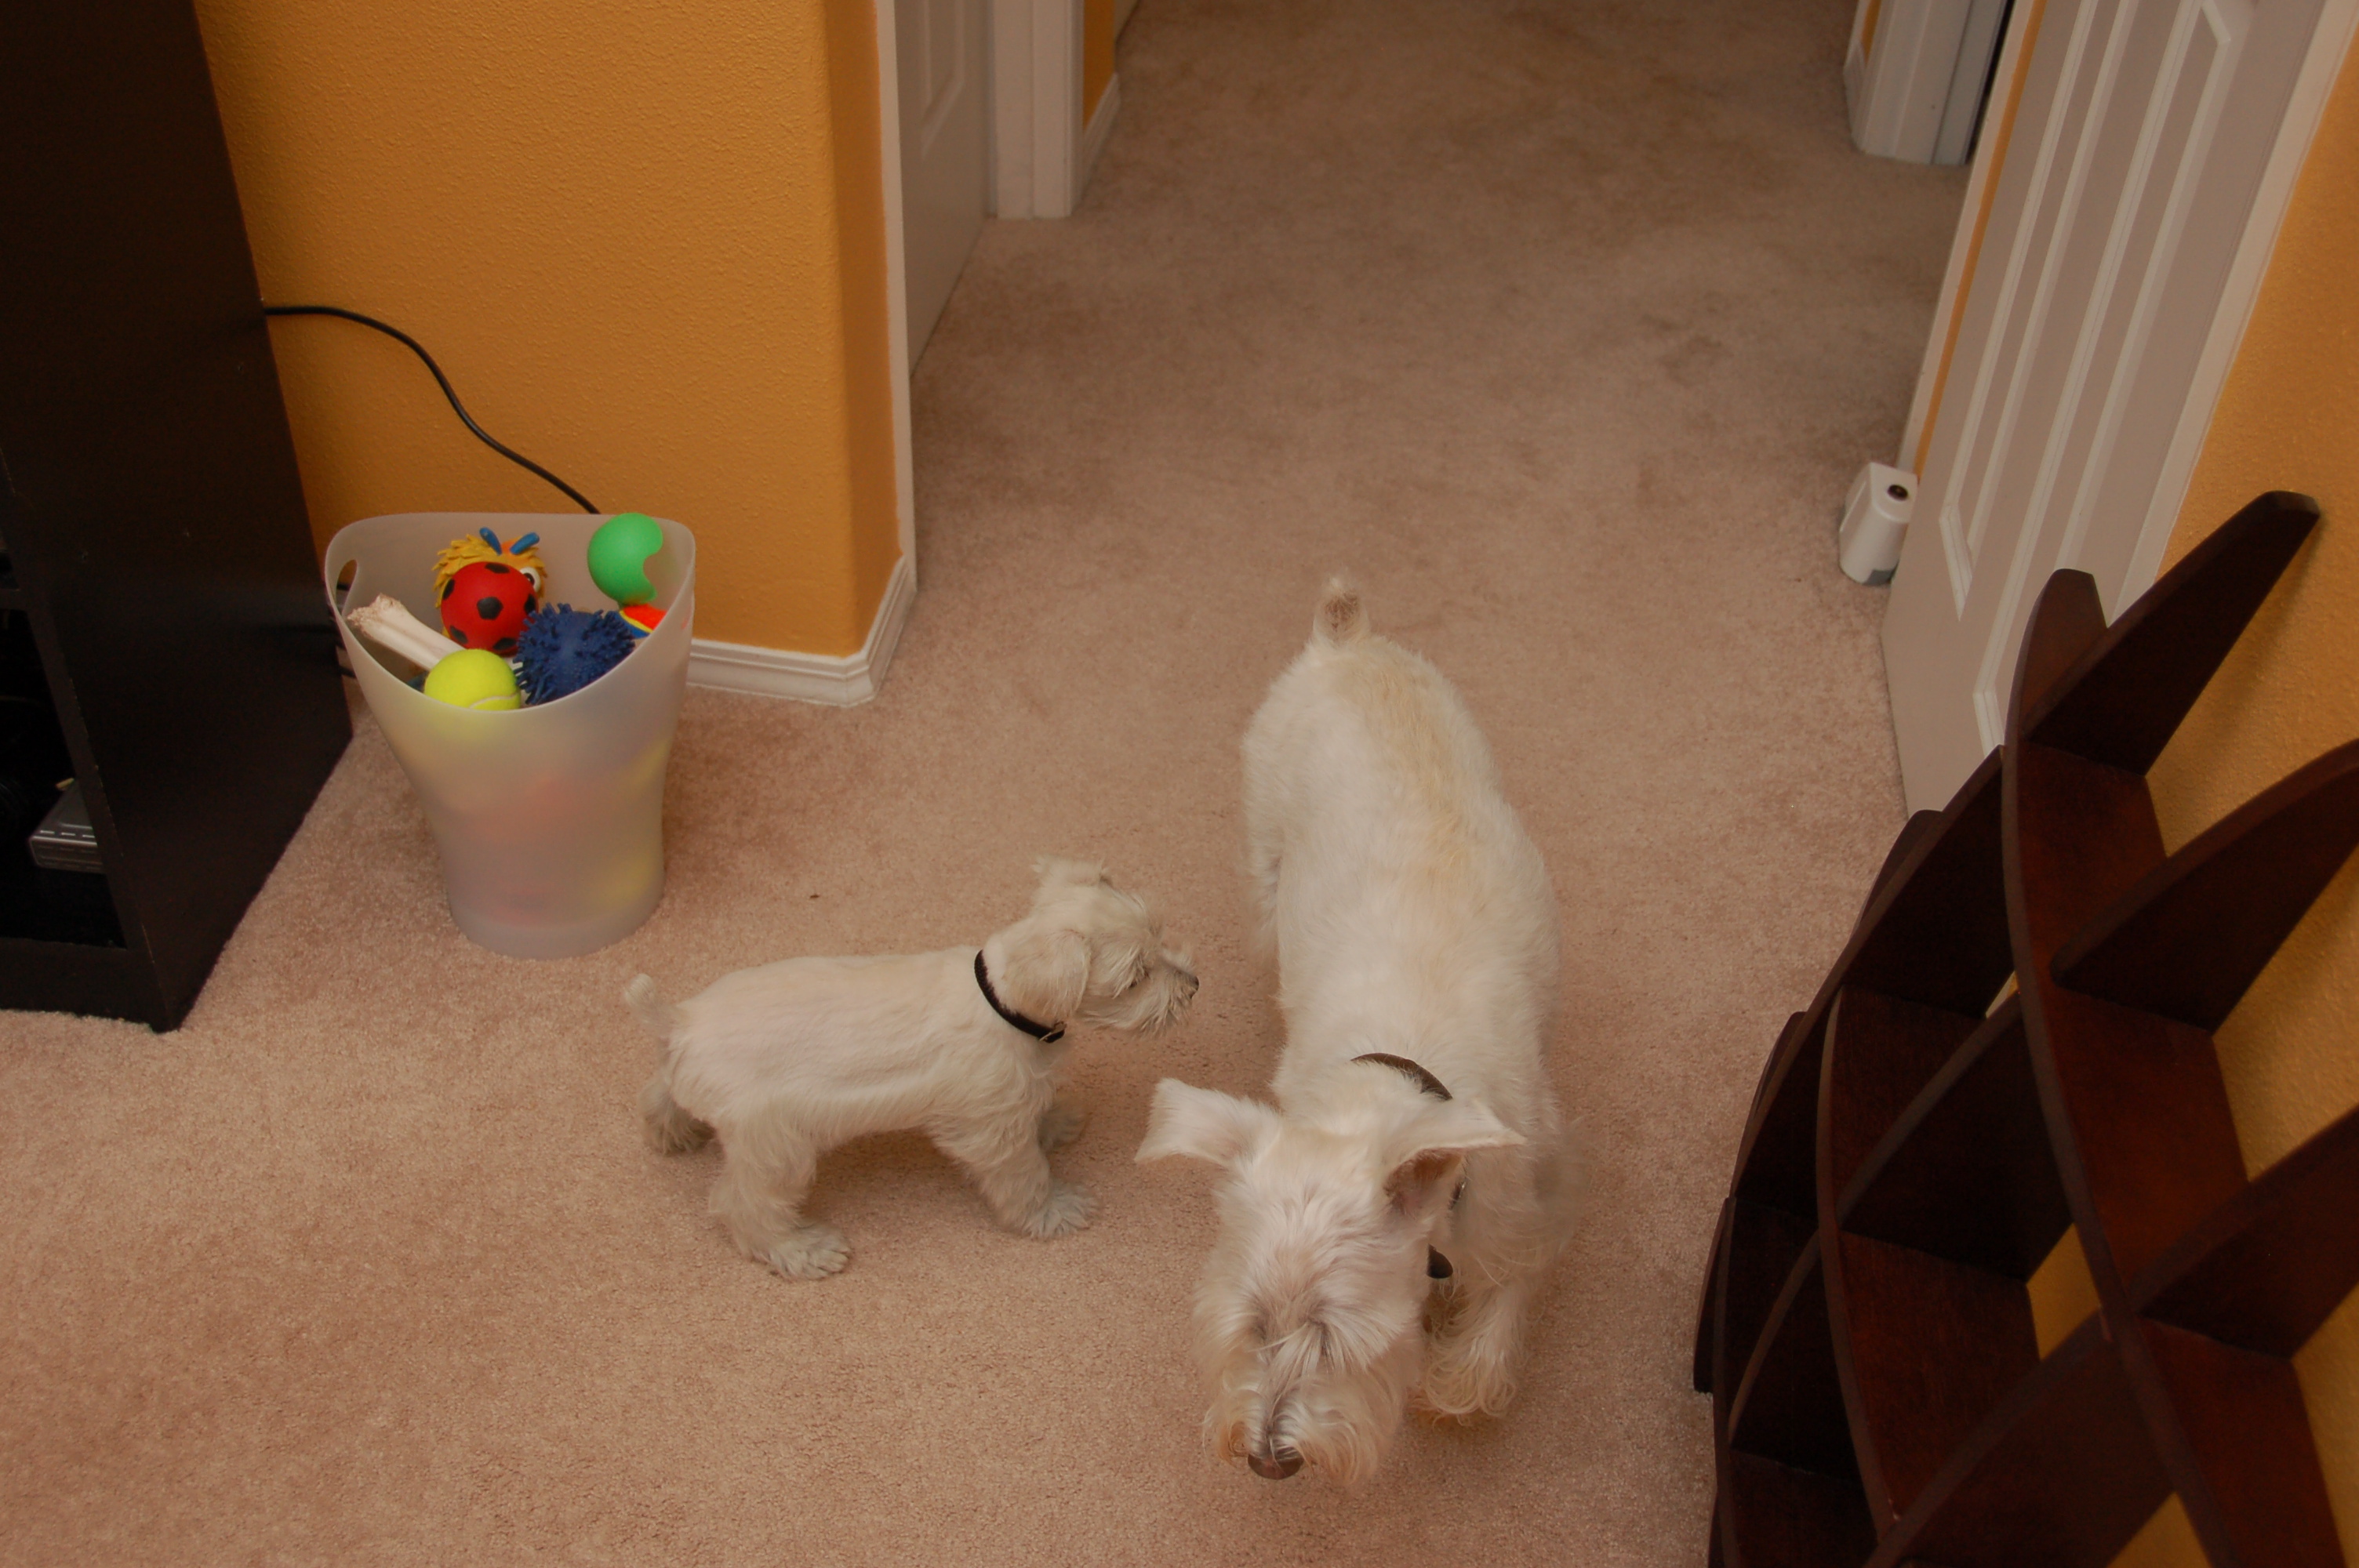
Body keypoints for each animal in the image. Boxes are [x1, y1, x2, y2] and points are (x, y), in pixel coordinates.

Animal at [633, 857, 1198, 1279]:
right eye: (1136, 978)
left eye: (1160, 933)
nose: (1193, 986)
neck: (1001, 1000)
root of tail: (679, 1021)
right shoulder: (990, 1131)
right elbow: (1024, 1175)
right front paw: (1052, 1210)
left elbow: (1038, 1111)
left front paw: (1055, 1122)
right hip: (777, 1147)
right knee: (743, 1206)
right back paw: (803, 1249)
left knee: (659, 1095)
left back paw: (671, 1133)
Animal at [1137, 580, 1576, 1483]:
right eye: (1252, 1326)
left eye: (1334, 1338)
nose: (1268, 1458)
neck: (1398, 1067)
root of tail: (1345, 638)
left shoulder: (1533, 1202)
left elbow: (1499, 1314)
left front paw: (1451, 1383)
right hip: (1267, 862)